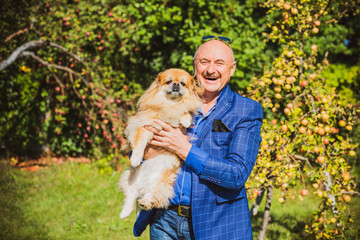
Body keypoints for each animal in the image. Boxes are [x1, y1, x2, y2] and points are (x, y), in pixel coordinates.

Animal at [118, 68, 202, 219]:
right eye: (168, 81)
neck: (171, 105)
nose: (176, 85)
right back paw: (124, 213)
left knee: (151, 196)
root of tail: (142, 187)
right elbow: (140, 143)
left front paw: (185, 119)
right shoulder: (145, 126)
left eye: (183, 83)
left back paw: (145, 202)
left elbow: (186, 111)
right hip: (131, 178)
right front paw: (135, 158)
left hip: (160, 183)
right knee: (130, 196)